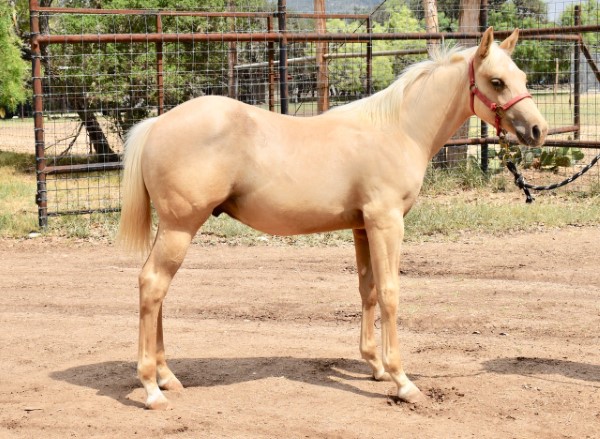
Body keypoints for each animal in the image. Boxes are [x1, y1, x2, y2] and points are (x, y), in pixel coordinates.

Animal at [117, 27, 548, 410]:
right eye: (496, 81)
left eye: (523, 78)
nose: (539, 130)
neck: (398, 129)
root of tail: (157, 124)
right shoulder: (386, 222)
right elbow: (390, 292)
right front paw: (402, 381)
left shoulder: (362, 226)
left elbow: (368, 290)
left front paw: (375, 366)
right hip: (181, 227)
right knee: (153, 285)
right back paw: (151, 389)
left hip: (172, 228)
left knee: (154, 289)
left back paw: (166, 377)